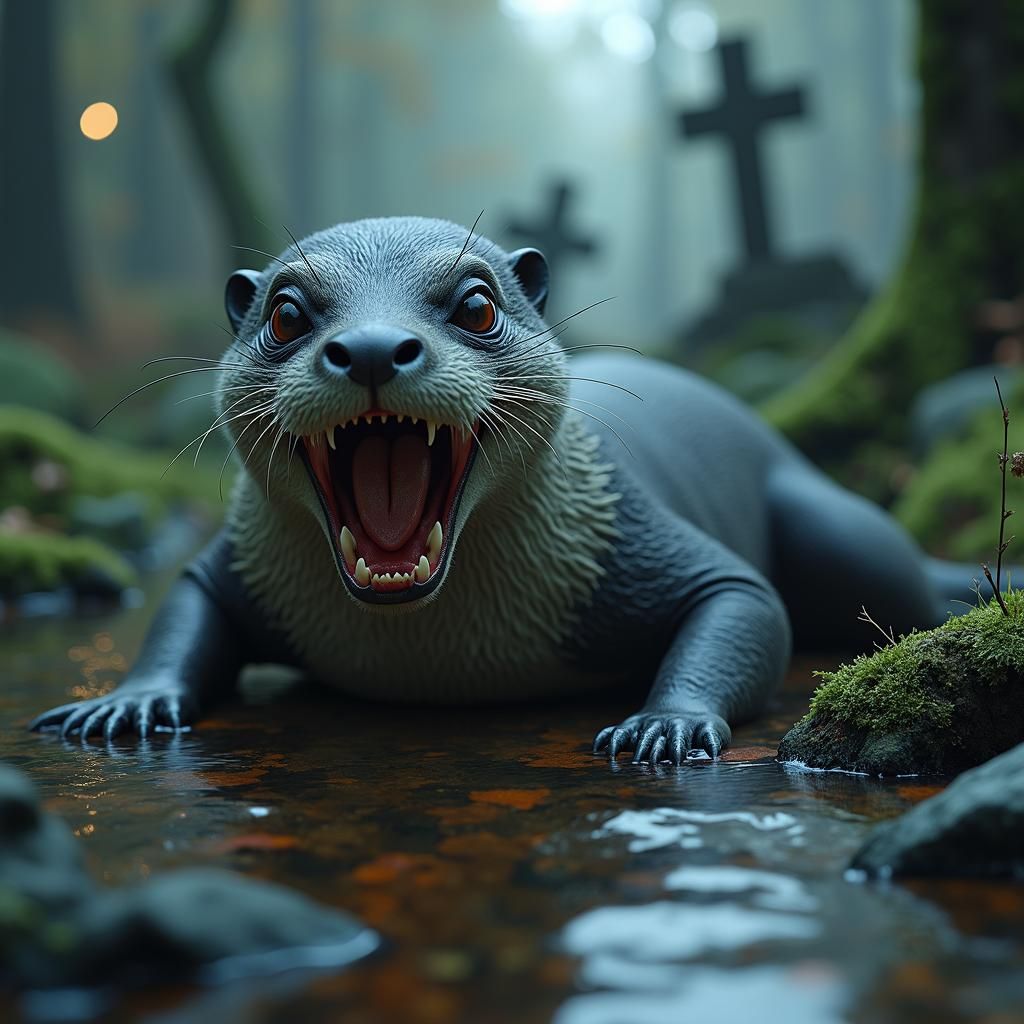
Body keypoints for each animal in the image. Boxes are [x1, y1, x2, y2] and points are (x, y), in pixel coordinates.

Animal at [30, 217, 980, 764]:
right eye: (289, 312)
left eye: (476, 306)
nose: (370, 348)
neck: (441, 660)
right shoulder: (239, 562)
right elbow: (182, 604)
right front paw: (126, 704)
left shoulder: (633, 541)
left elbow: (745, 603)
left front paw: (664, 723)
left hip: (836, 530)